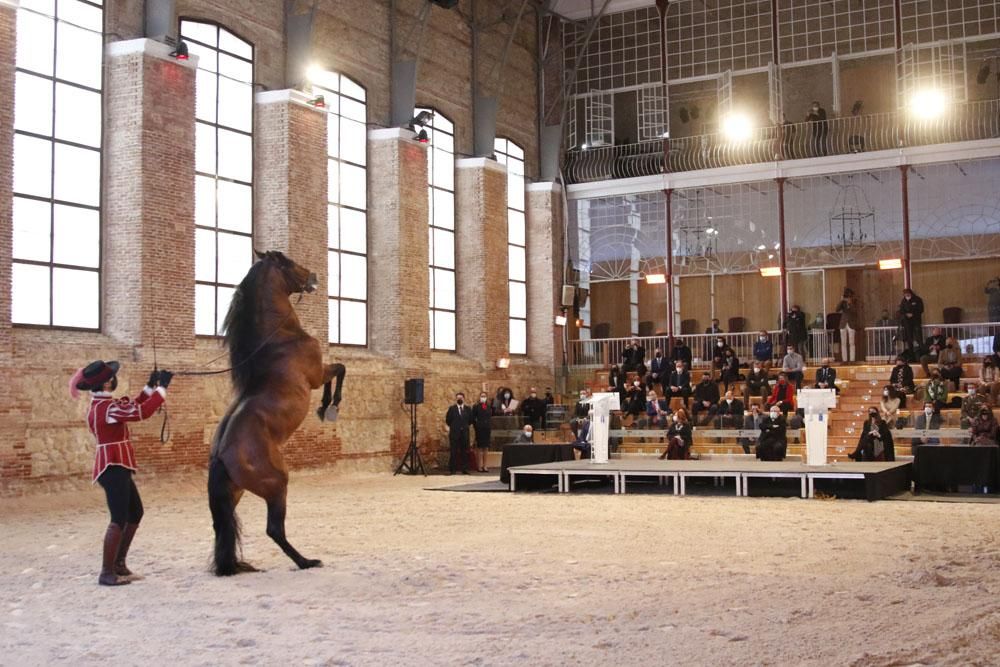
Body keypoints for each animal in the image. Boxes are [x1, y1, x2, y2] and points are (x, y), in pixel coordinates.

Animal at [207, 250, 344, 576]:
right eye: (289, 263)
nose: (314, 277)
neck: (281, 337)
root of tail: (221, 454)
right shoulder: (318, 374)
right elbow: (340, 370)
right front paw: (329, 407)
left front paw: (325, 408)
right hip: (276, 484)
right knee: (274, 529)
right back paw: (306, 561)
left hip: (235, 492)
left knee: (223, 528)